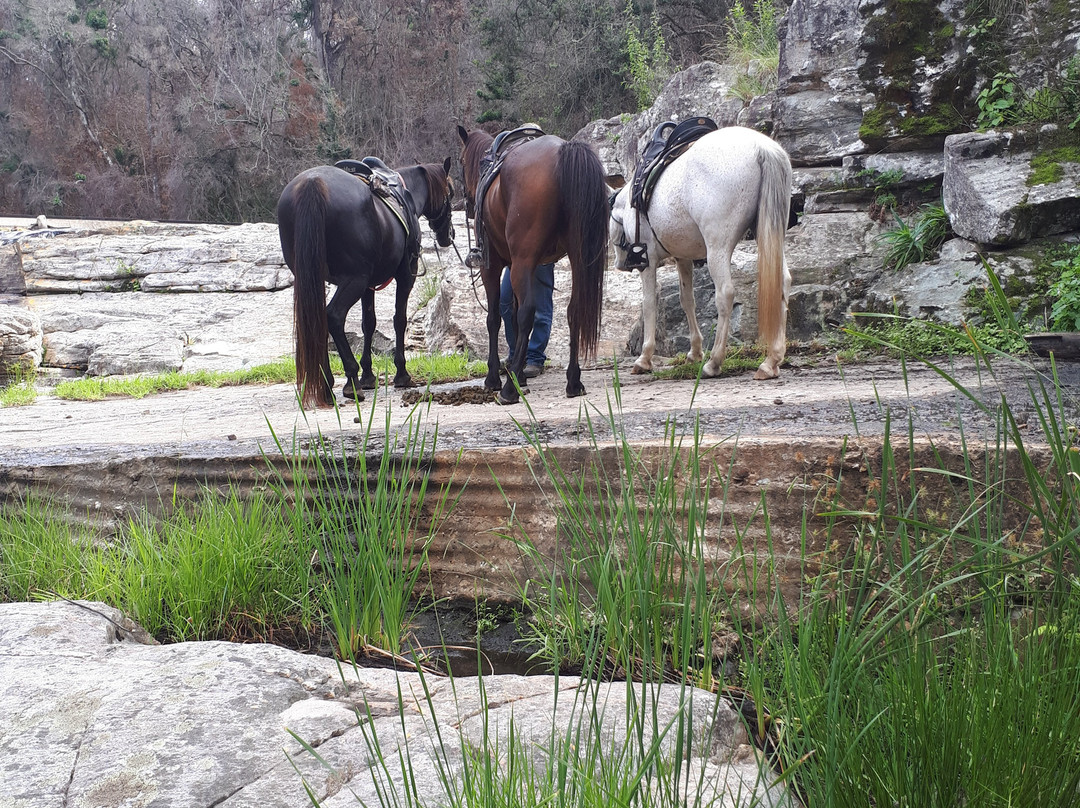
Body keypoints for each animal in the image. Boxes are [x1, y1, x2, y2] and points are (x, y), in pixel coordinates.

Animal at [276, 159, 453, 410]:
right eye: (450, 192)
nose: (449, 234)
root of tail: (313, 183)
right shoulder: (405, 276)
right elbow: (399, 320)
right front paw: (401, 374)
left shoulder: (369, 285)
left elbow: (368, 323)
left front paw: (368, 375)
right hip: (354, 280)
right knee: (334, 316)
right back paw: (350, 382)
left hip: (318, 278)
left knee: (319, 320)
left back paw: (327, 384)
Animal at [455, 125, 609, 404]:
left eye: (461, 162)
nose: (469, 207)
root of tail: (563, 151)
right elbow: (513, 320)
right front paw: (519, 374)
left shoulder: (493, 267)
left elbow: (495, 318)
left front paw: (495, 377)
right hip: (577, 257)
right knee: (574, 310)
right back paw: (573, 381)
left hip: (522, 262)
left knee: (527, 313)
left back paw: (509, 390)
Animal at [609, 125, 794, 378]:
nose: (621, 264)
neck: (632, 202)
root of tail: (761, 147)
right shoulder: (683, 258)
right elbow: (687, 300)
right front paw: (694, 352)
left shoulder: (649, 261)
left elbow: (649, 303)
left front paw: (644, 358)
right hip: (770, 233)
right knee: (782, 283)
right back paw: (771, 361)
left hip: (717, 247)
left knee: (725, 293)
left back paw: (714, 362)